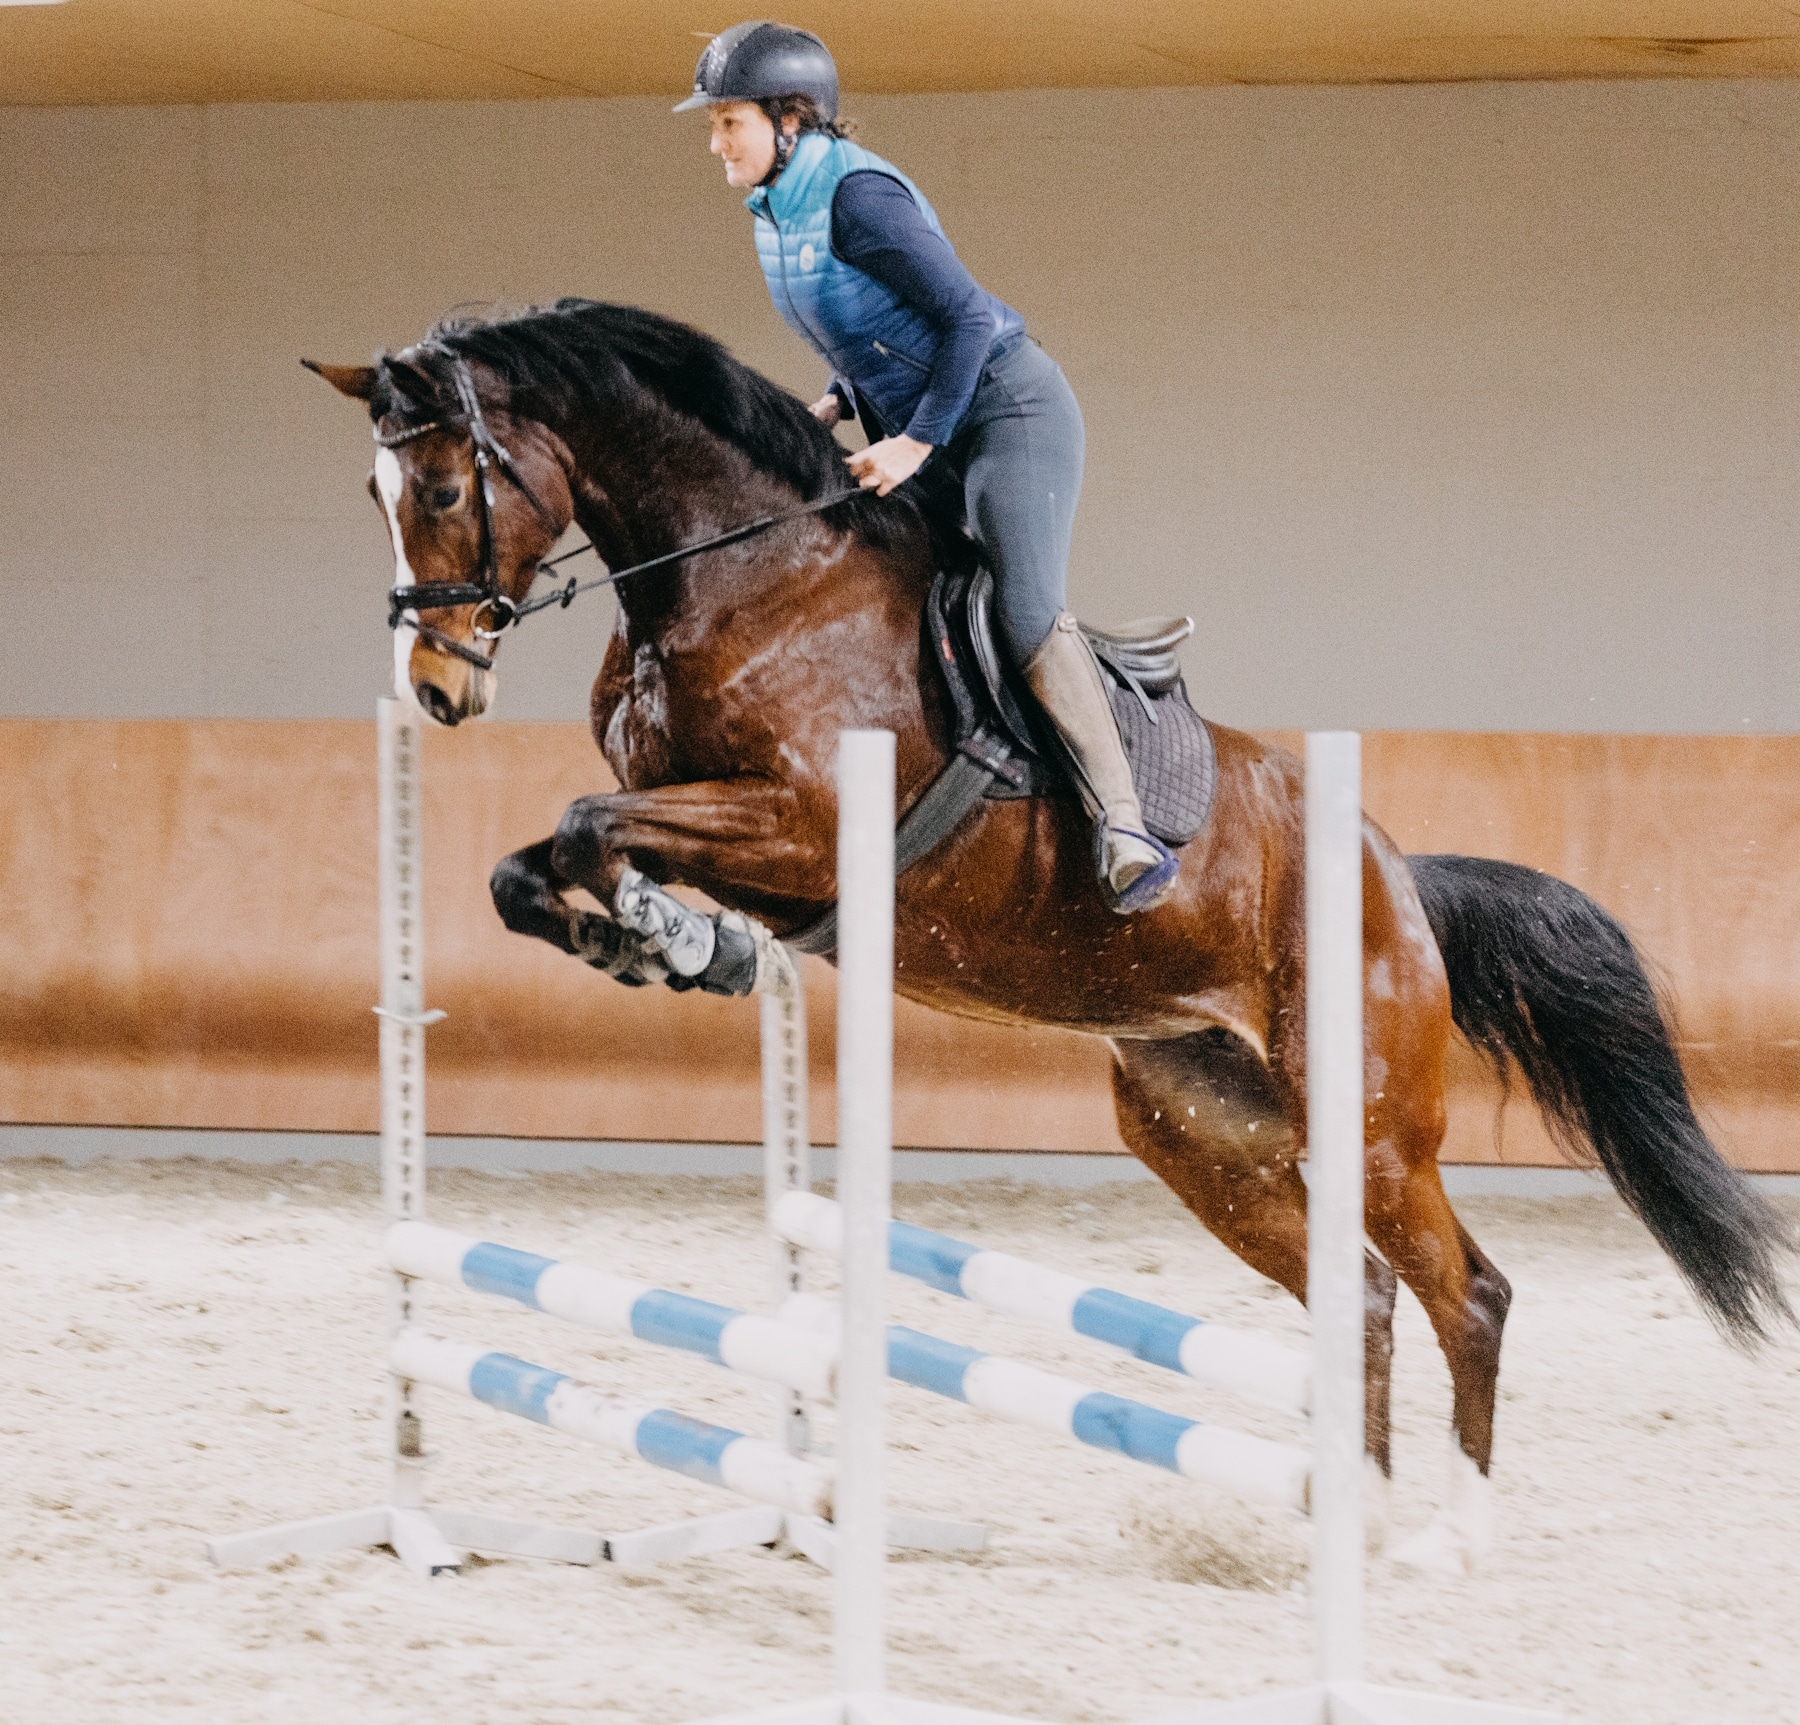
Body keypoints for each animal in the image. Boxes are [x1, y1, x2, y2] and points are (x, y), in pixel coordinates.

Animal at [310, 298, 1791, 1574]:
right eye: (374, 497)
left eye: (440, 491)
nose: (433, 689)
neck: (746, 578)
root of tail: (1403, 880)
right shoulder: (722, 831)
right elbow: (538, 864)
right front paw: (673, 945)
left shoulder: (803, 829)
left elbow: (583, 827)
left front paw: (671, 942)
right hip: (1206, 1136)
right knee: (1362, 1296)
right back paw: (1354, 1519)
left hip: (1368, 1128)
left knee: (1465, 1293)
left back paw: (1449, 1538)